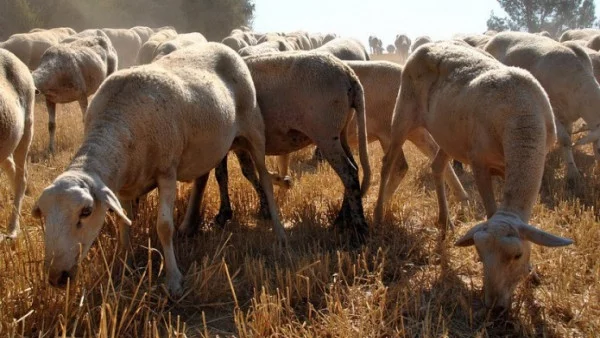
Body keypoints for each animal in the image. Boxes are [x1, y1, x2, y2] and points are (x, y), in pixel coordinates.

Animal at [31, 42, 284, 296]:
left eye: (86, 211)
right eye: (43, 213)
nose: (56, 277)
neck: (118, 126)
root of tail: (223, 46)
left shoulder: (166, 172)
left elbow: (164, 227)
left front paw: (174, 280)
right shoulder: (124, 186)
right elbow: (124, 224)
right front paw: (124, 263)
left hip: (254, 129)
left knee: (265, 178)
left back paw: (278, 228)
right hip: (207, 146)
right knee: (203, 178)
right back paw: (190, 224)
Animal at [180, 51, 372, 244]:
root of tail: (349, 75)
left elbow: (223, 176)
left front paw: (224, 214)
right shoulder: (239, 143)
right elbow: (247, 172)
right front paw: (264, 205)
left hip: (325, 133)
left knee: (349, 173)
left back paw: (359, 229)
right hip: (340, 132)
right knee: (354, 168)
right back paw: (342, 220)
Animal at [372, 41, 576, 312]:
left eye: (517, 255)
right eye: (480, 256)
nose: (494, 306)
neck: (520, 115)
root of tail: (429, 44)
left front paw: (532, 274)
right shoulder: (480, 164)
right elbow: (491, 210)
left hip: (448, 134)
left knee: (437, 166)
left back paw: (444, 221)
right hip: (403, 113)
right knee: (388, 163)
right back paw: (378, 215)